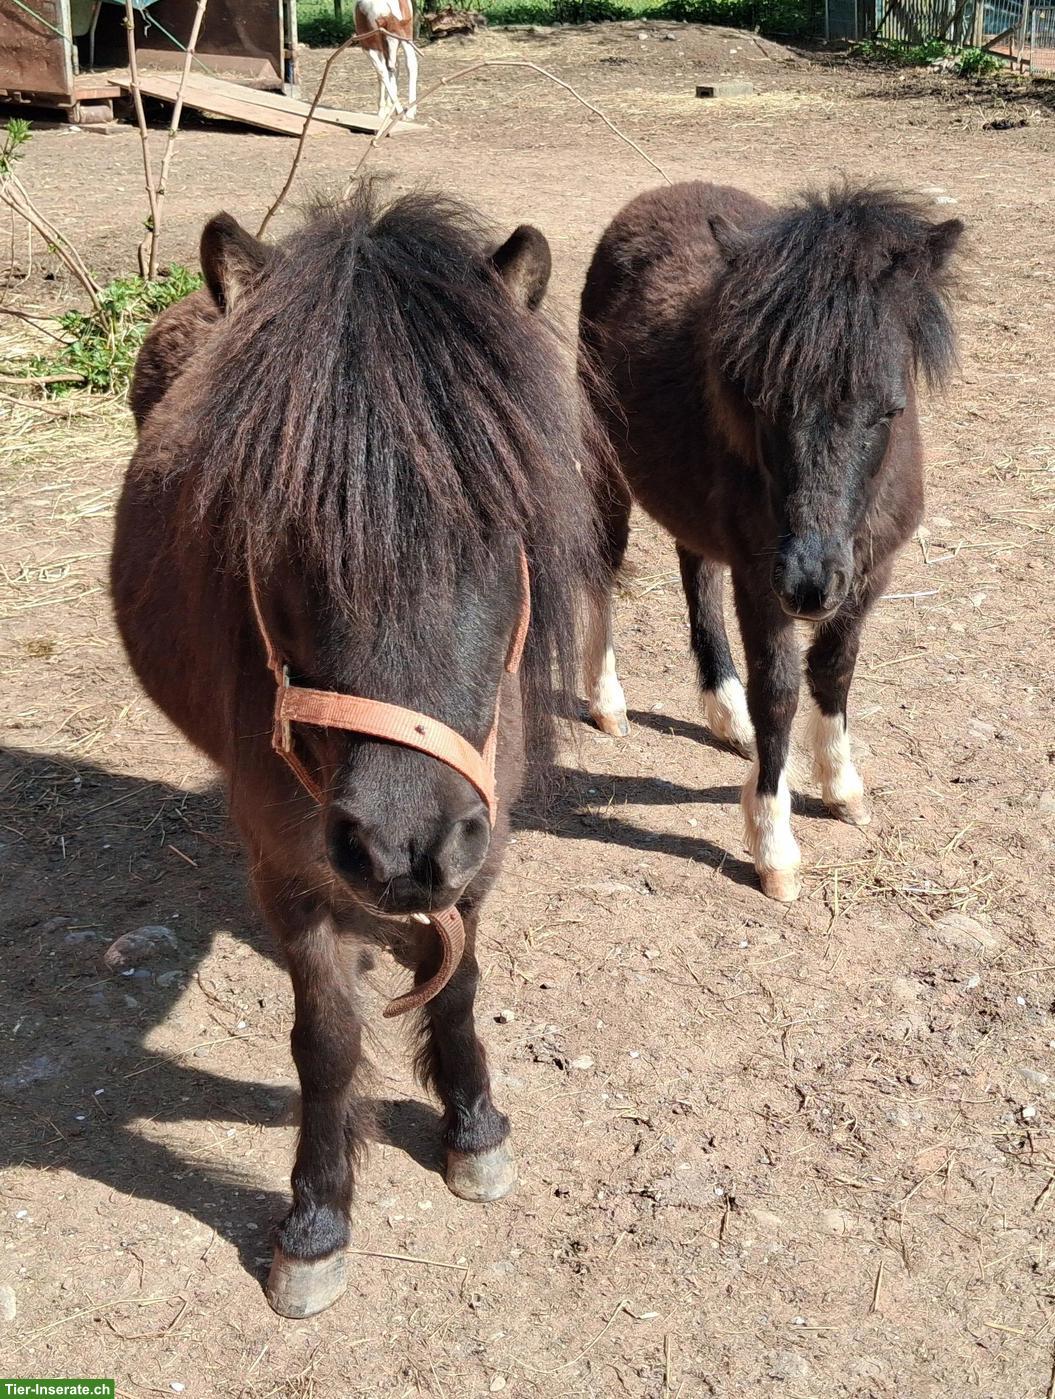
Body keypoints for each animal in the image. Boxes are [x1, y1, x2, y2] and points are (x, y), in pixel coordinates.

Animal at [112, 189, 602, 1318]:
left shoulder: (478, 844)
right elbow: (326, 1041)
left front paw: (472, 1127)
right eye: (277, 530)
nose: (399, 846)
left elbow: (458, 983)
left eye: (497, 523)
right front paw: (315, 1217)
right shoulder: (292, 874)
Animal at [578, 182, 962, 903]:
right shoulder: (762, 578)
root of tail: (656, 196)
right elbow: (779, 691)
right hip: (607, 458)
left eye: (889, 408)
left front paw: (840, 786)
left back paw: (726, 714)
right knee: (602, 564)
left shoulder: (869, 572)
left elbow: (834, 668)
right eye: (757, 399)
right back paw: (608, 703)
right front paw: (773, 844)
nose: (810, 584)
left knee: (695, 572)